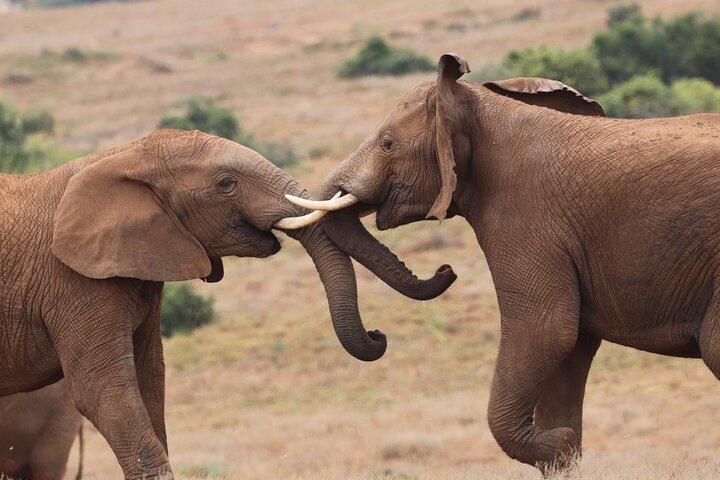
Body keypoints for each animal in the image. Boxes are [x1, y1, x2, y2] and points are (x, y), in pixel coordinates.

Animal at [0, 129, 454, 479]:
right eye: (225, 184)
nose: (446, 270)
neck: (123, 157)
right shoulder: (73, 281)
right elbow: (106, 394)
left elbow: (150, 382)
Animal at [286, 52, 720, 473]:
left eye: (387, 143)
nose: (446, 270)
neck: (480, 105)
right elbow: (571, 344)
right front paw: (565, 451)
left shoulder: (525, 216)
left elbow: (547, 329)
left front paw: (558, 444)